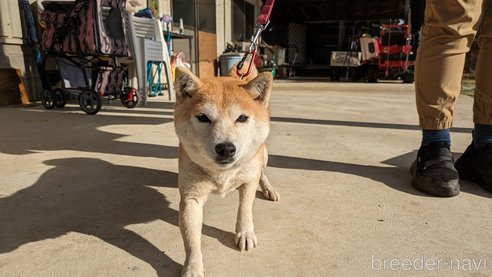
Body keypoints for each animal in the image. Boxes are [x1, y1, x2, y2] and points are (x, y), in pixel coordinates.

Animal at [175, 65, 278, 276]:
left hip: (262, 154)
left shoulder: (248, 180)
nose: (225, 148)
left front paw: (245, 232)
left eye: (242, 118)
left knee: (261, 172)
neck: (222, 174)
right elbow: (191, 240)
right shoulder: (190, 198)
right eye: (203, 117)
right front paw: (193, 266)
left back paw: (268, 188)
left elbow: (245, 208)